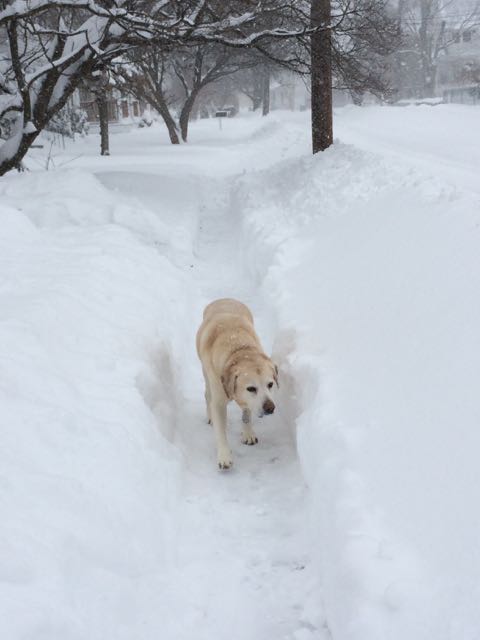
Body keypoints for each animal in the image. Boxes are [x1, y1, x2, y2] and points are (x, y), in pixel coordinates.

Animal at [195, 298, 278, 468]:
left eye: (270, 384)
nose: (270, 408)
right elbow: (220, 432)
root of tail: (223, 298)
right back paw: (210, 416)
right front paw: (224, 456)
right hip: (206, 374)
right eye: (251, 388)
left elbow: (246, 414)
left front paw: (248, 433)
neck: (239, 349)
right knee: (207, 395)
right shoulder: (219, 401)